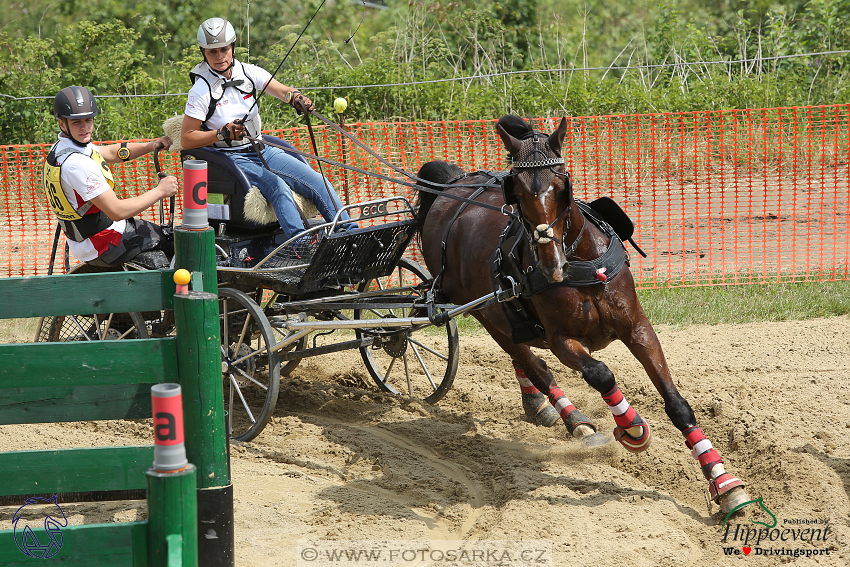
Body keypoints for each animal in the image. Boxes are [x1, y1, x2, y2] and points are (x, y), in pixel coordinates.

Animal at [414, 115, 744, 516]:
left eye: (561, 185)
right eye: (516, 192)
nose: (550, 263)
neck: (582, 264)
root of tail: (453, 184)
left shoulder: (638, 328)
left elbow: (677, 404)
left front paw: (723, 482)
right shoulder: (561, 339)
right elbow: (601, 374)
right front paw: (632, 429)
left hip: (505, 315)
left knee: (525, 356)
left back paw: (540, 407)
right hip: (485, 314)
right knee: (533, 365)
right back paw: (574, 420)